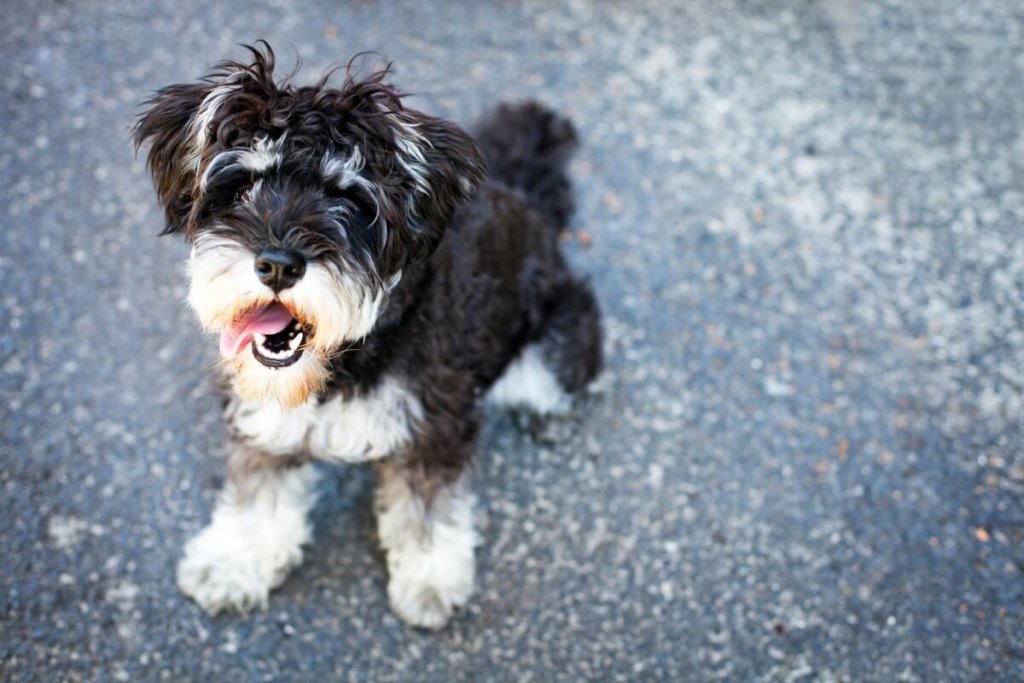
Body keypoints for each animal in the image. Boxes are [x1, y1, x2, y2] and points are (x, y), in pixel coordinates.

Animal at [133, 44, 602, 630]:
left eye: (348, 200)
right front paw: (234, 561)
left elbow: (428, 509)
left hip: (557, 338)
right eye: (239, 187)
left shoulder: (433, 426)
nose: (278, 265)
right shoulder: (266, 418)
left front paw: (429, 580)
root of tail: (524, 198)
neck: (344, 361)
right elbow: (258, 491)